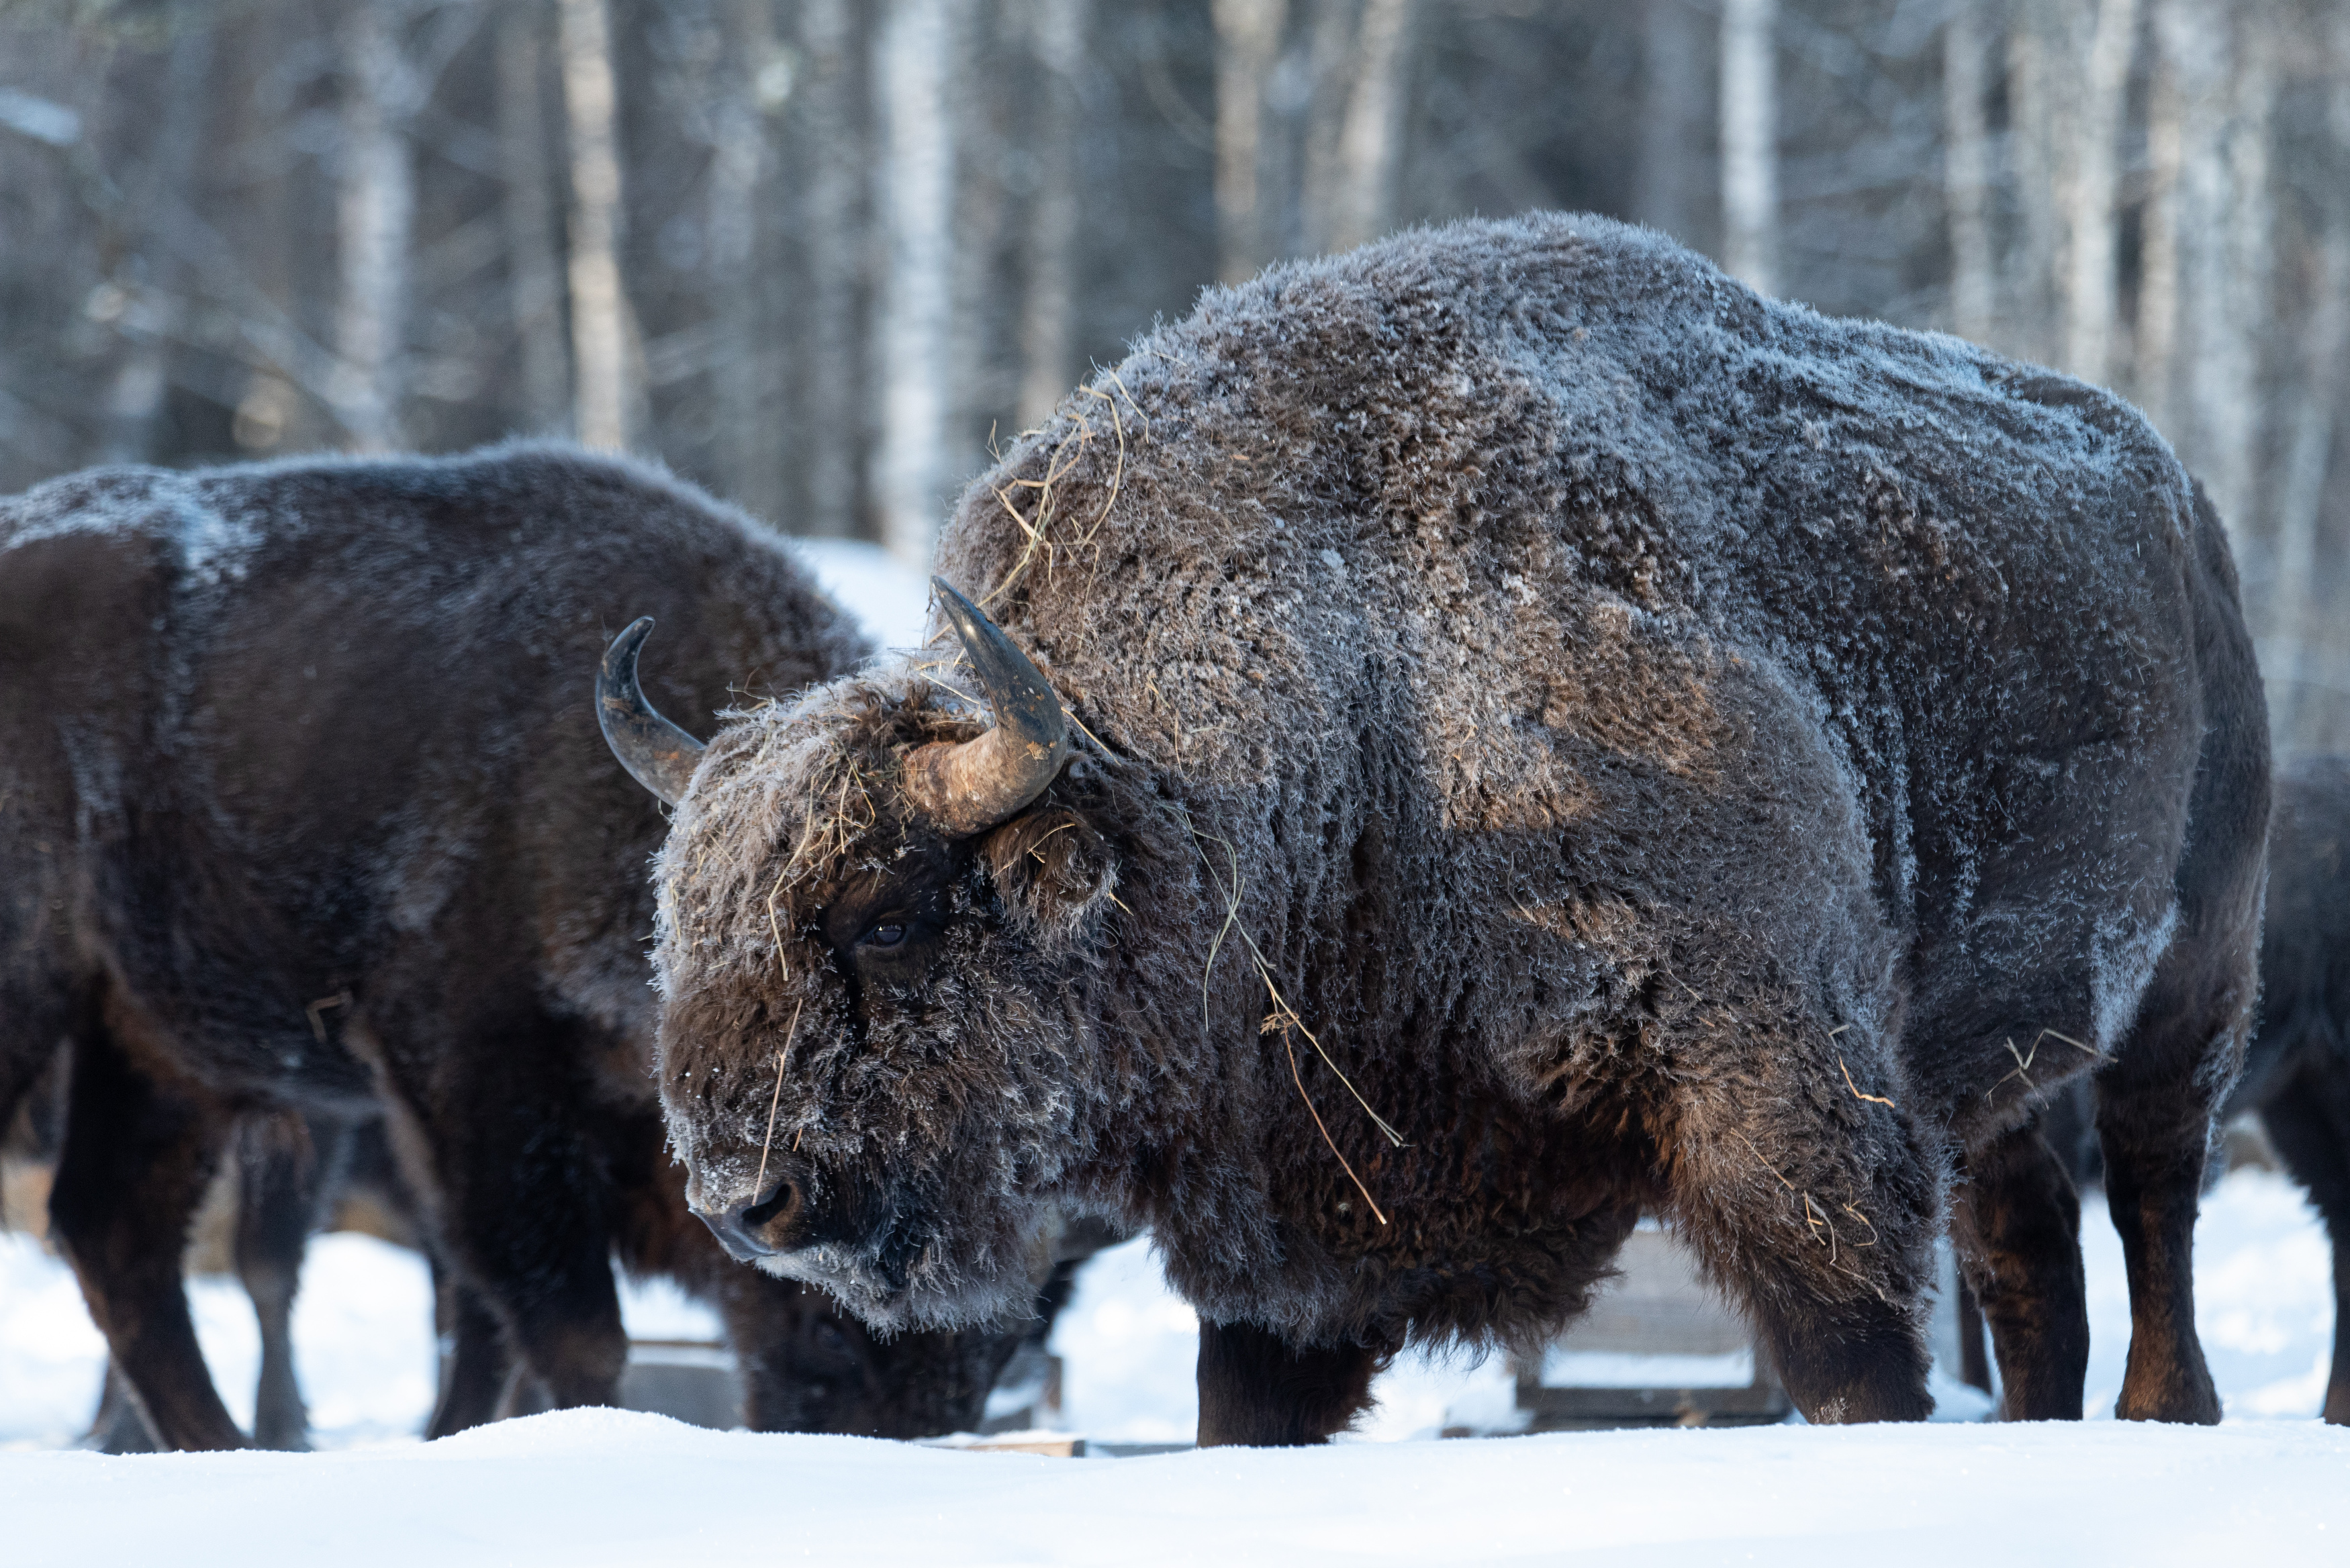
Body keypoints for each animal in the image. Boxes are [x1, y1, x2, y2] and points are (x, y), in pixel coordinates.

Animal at [0, 439, 1043, 1448]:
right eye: (886, 921)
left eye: (1014, 1335)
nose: (893, 1425)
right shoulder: (475, 1091)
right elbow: (564, 1330)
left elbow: (481, 1335)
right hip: (54, 1004)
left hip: (161, 1046)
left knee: (115, 1233)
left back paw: (221, 1446)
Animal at [616, 211, 2265, 1448]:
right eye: (677, 931)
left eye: (889, 913)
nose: (744, 1198)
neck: (1358, 695)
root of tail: (2182, 499)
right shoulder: (1298, 1242)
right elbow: (1245, 1400)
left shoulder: (1782, 1101)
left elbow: (1852, 1349)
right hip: (2006, 1059)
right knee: (2029, 1249)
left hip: (2192, 981)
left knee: (2155, 1194)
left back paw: (2166, 1412)